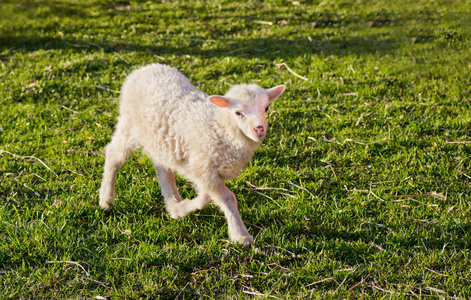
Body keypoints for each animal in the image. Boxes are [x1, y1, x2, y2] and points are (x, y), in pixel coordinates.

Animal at [97, 63, 286, 246]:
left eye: (266, 108)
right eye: (238, 112)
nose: (259, 129)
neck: (220, 126)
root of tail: (144, 68)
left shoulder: (207, 172)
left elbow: (207, 196)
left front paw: (180, 209)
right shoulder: (203, 168)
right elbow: (226, 197)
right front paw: (240, 235)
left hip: (160, 139)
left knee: (162, 168)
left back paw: (173, 204)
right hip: (128, 123)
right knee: (114, 155)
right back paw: (106, 200)